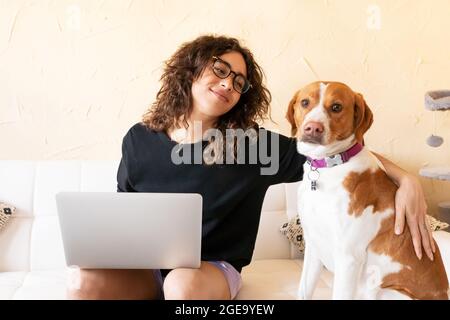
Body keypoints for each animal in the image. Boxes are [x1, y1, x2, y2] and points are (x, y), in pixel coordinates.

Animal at [286, 81, 448, 298]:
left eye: (336, 107)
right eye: (305, 102)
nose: (313, 128)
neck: (330, 167)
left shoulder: (347, 257)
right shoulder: (313, 247)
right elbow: (303, 291)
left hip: (381, 290)